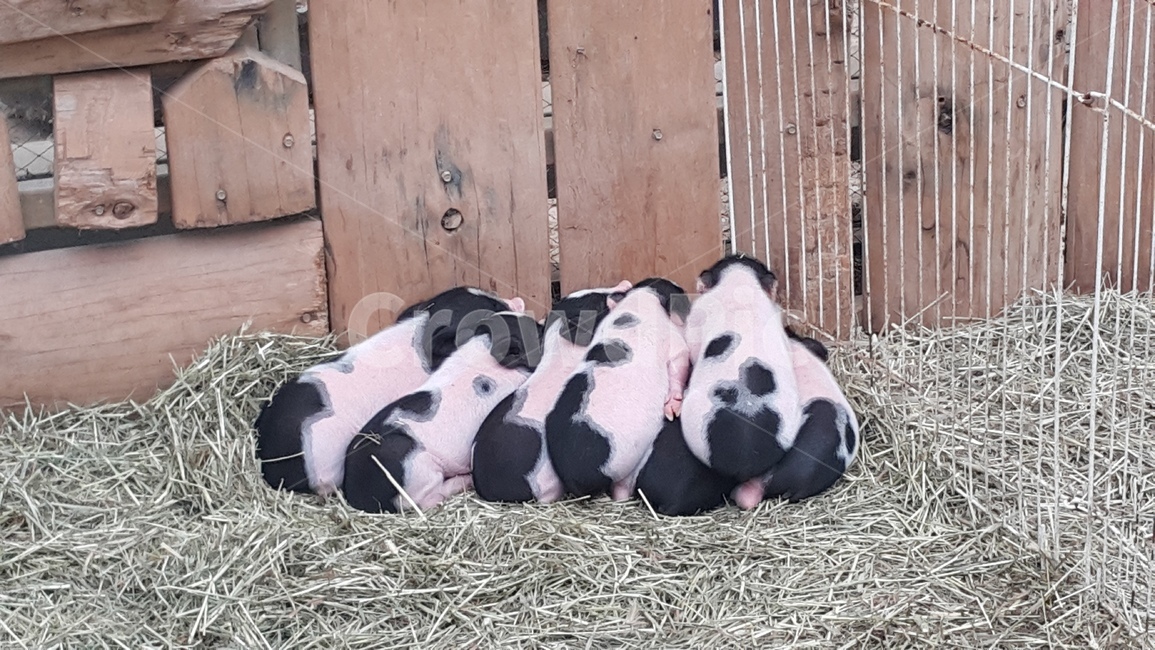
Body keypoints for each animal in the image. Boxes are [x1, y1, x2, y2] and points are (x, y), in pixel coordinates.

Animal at [341, 311, 544, 514]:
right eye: (537, 334)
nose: (544, 324)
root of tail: (359, 495)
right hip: (418, 470)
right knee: (429, 499)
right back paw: (465, 481)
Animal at [544, 278, 692, 501]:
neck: (645, 295)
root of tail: (575, 475)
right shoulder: (674, 344)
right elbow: (679, 365)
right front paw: (672, 411)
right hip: (627, 462)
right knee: (621, 489)